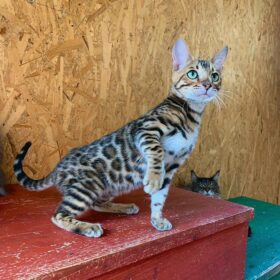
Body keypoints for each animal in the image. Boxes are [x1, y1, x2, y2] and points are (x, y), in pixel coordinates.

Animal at [13, 38, 228, 237]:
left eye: (215, 75)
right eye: (193, 73)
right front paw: (152, 180)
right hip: (88, 185)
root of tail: (57, 168)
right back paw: (87, 227)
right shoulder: (146, 129)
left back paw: (123, 207)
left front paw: (157, 219)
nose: (208, 85)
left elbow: (160, 198)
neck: (191, 114)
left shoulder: (172, 166)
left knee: (96, 203)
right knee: (58, 214)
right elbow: (156, 151)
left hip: (107, 185)